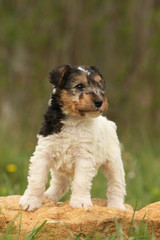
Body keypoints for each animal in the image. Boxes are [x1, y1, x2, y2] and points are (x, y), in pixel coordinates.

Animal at [19, 64, 126, 212]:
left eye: (100, 85)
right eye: (79, 86)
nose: (99, 101)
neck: (73, 120)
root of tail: (109, 123)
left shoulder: (84, 158)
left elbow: (81, 182)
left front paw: (80, 202)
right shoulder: (44, 153)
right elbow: (37, 180)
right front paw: (30, 201)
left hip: (114, 162)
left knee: (116, 185)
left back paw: (116, 206)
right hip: (60, 168)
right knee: (60, 183)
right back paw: (49, 196)